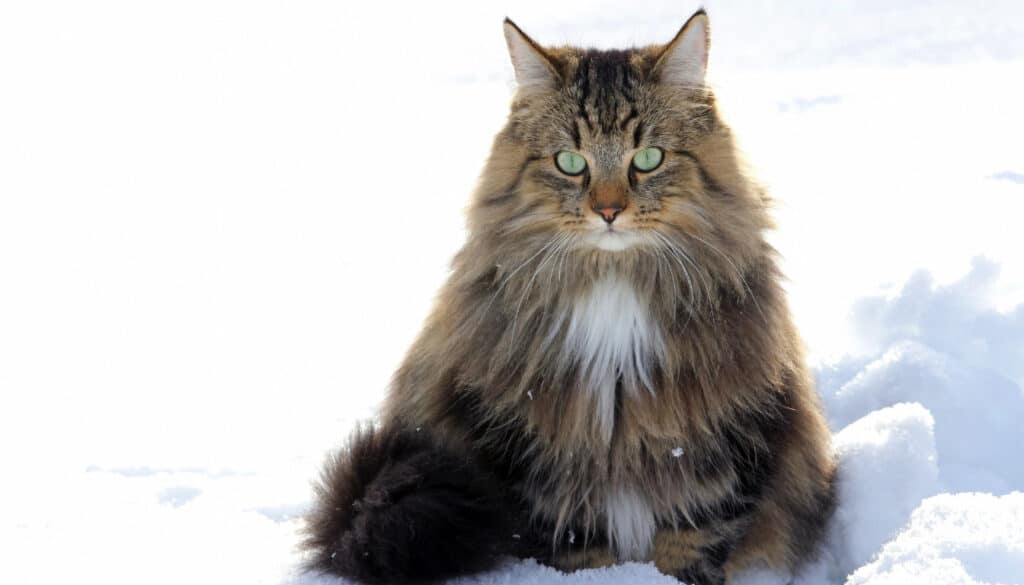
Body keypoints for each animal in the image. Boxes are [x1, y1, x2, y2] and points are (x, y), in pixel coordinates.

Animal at [299, 10, 835, 585]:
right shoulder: (532, 449)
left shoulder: (720, 438)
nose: (608, 211)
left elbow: (693, 541)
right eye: (570, 162)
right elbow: (580, 545)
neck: (614, 286)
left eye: (648, 158)